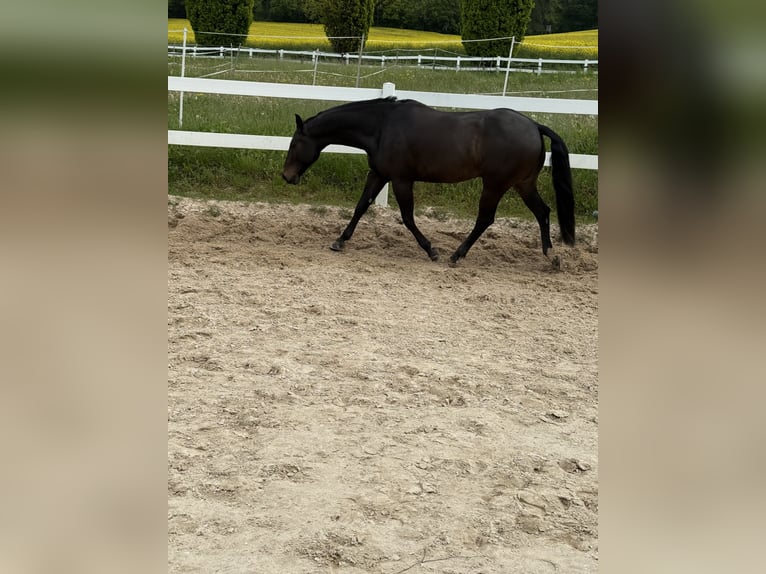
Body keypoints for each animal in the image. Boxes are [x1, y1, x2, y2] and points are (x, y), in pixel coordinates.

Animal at [281, 97, 575, 265]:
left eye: (295, 143)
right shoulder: (379, 174)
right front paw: (340, 241)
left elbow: (408, 217)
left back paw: (456, 255)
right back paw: (551, 256)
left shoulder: (401, 180)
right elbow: (361, 207)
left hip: (495, 184)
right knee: (543, 212)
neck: (382, 127)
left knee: (485, 219)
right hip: (523, 183)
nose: (287, 176)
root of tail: (534, 126)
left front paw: (431, 250)